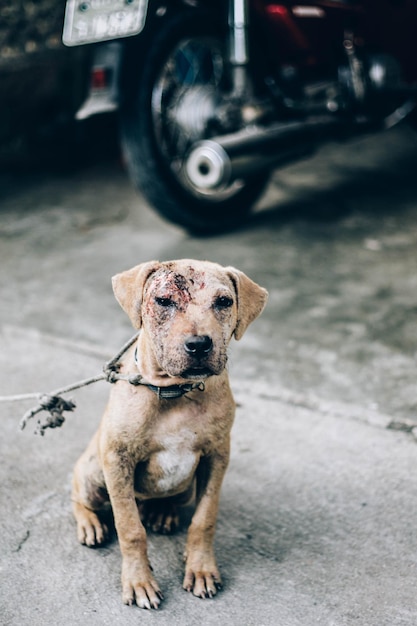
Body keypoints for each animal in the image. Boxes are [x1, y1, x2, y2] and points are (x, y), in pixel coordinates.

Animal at [71, 258, 266, 604]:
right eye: (163, 301)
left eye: (224, 302)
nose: (199, 345)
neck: (175, 391)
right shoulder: (117, 458)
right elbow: (130, 528)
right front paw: (139, 581)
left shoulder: (217, 456)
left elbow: (204, 519)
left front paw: (201, 568)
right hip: (94, 470)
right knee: (77, 495)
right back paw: (90, 523)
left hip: (185, 485)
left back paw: (162, 511)